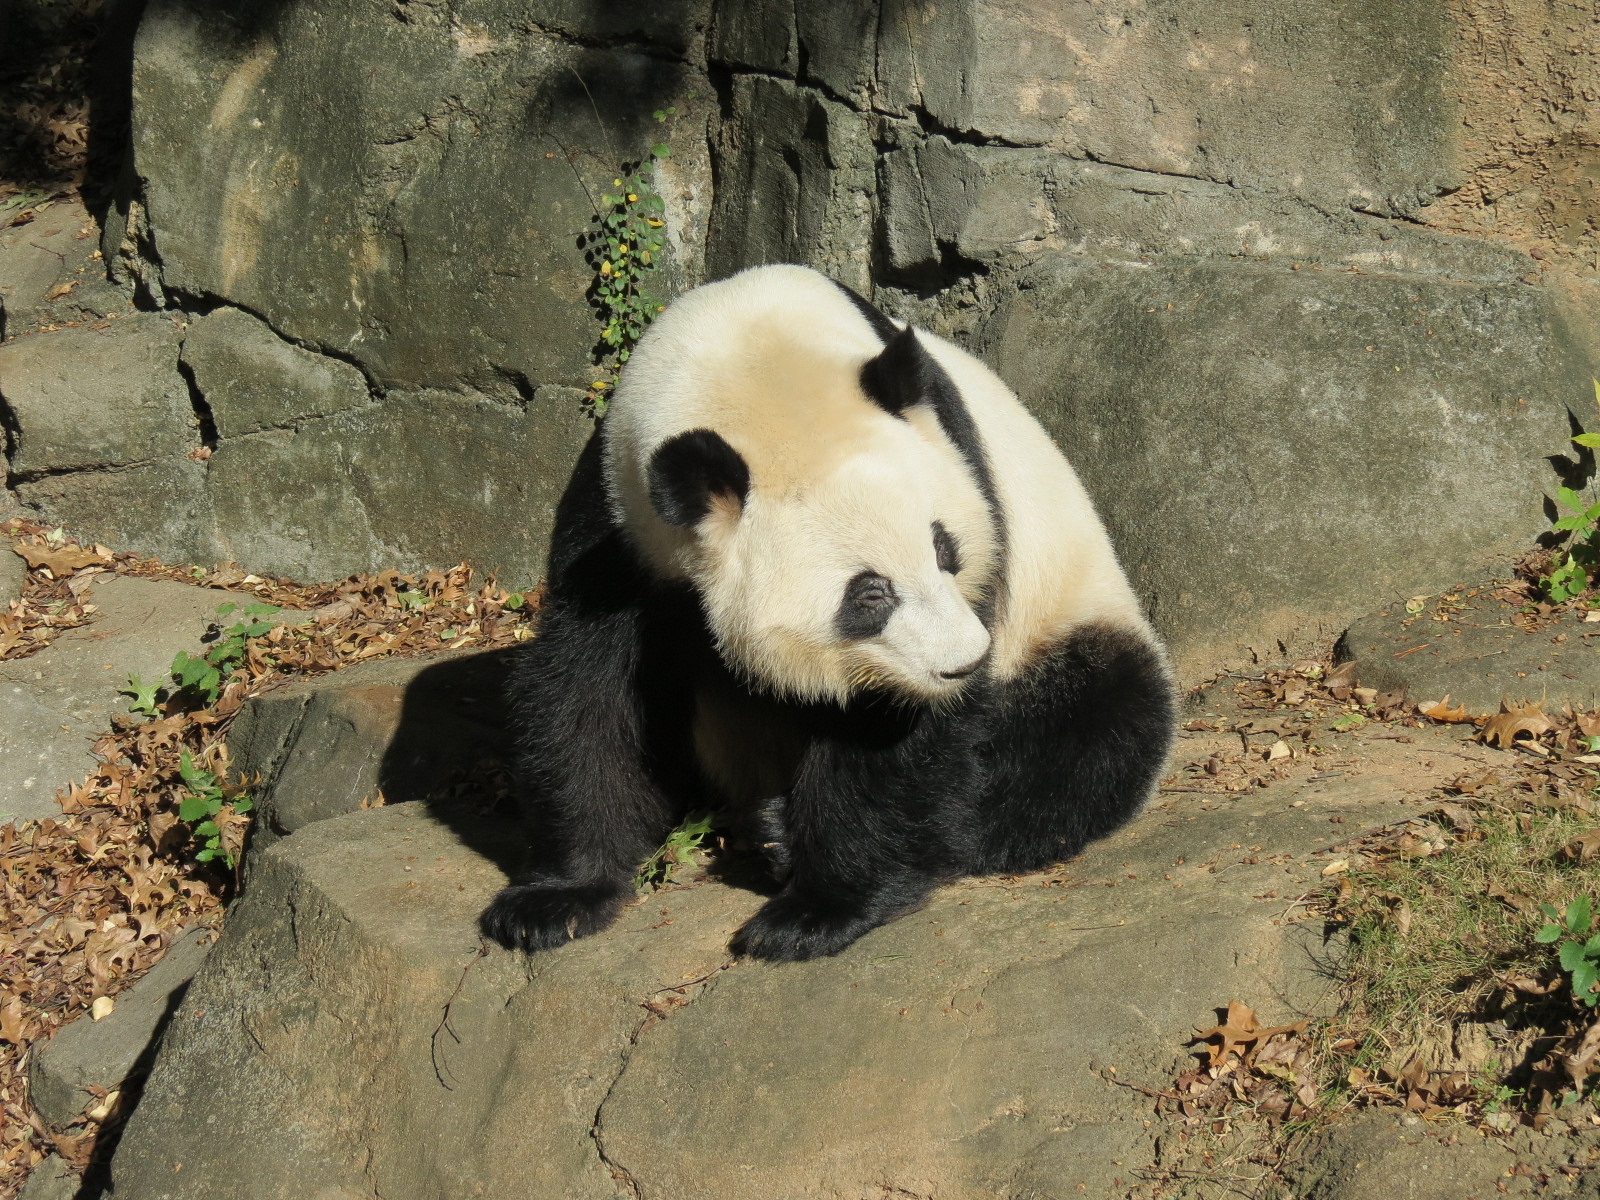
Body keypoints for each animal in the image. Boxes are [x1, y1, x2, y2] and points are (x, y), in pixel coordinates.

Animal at [481, 264, 1177, 962]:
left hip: (1068, 611)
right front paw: (555, 900)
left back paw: (784, 835)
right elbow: (589, 686)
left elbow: (890, 737)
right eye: (869, 593)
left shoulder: (966, 478)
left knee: (1091, 730)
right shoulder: (620, 521)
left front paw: (815, 910)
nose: (964, 665)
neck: (748, 358)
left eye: (944, 548)